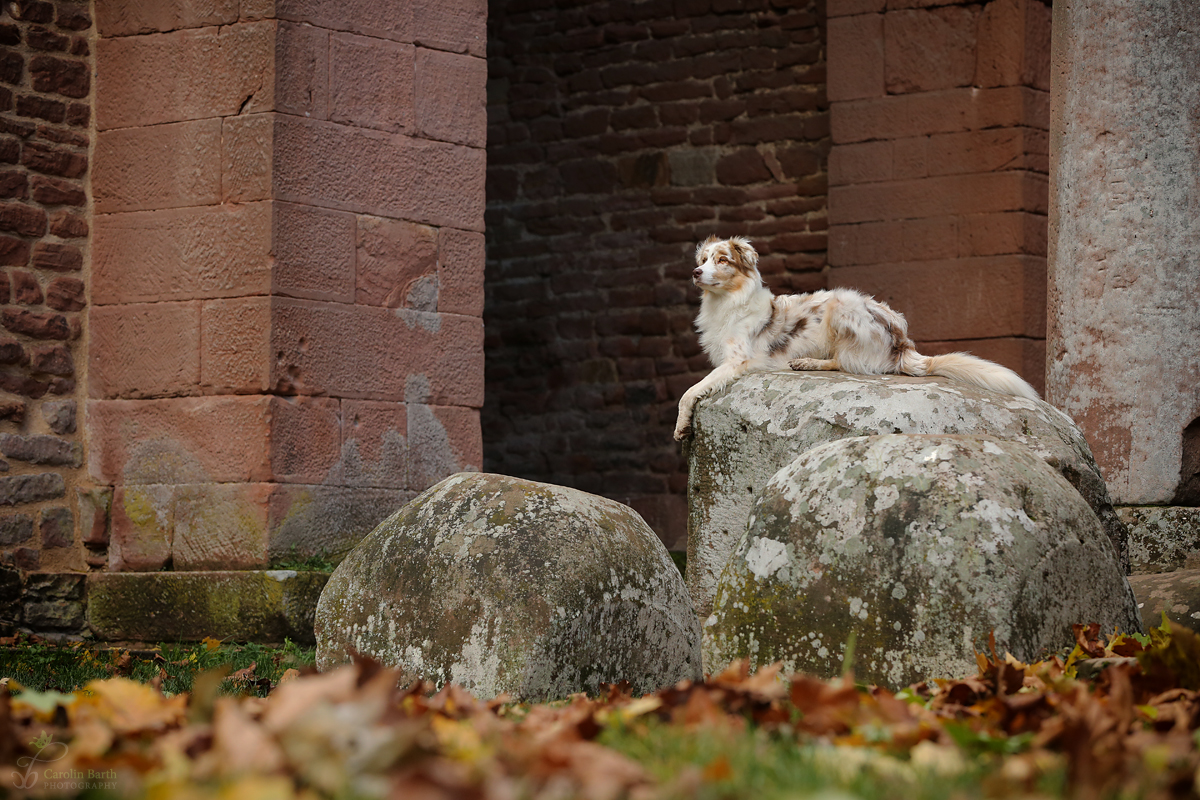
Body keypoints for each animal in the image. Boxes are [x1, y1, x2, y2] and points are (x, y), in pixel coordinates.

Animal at [676, 235, 1041, 441]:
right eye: (703, 260)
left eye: (723, 260)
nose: (695, 272)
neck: (727, 303)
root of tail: (903, 344)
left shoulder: (737, 360)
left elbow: (689, 392)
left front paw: (681, 426)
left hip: (843, 302)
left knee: (845, 362)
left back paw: (808, 362)